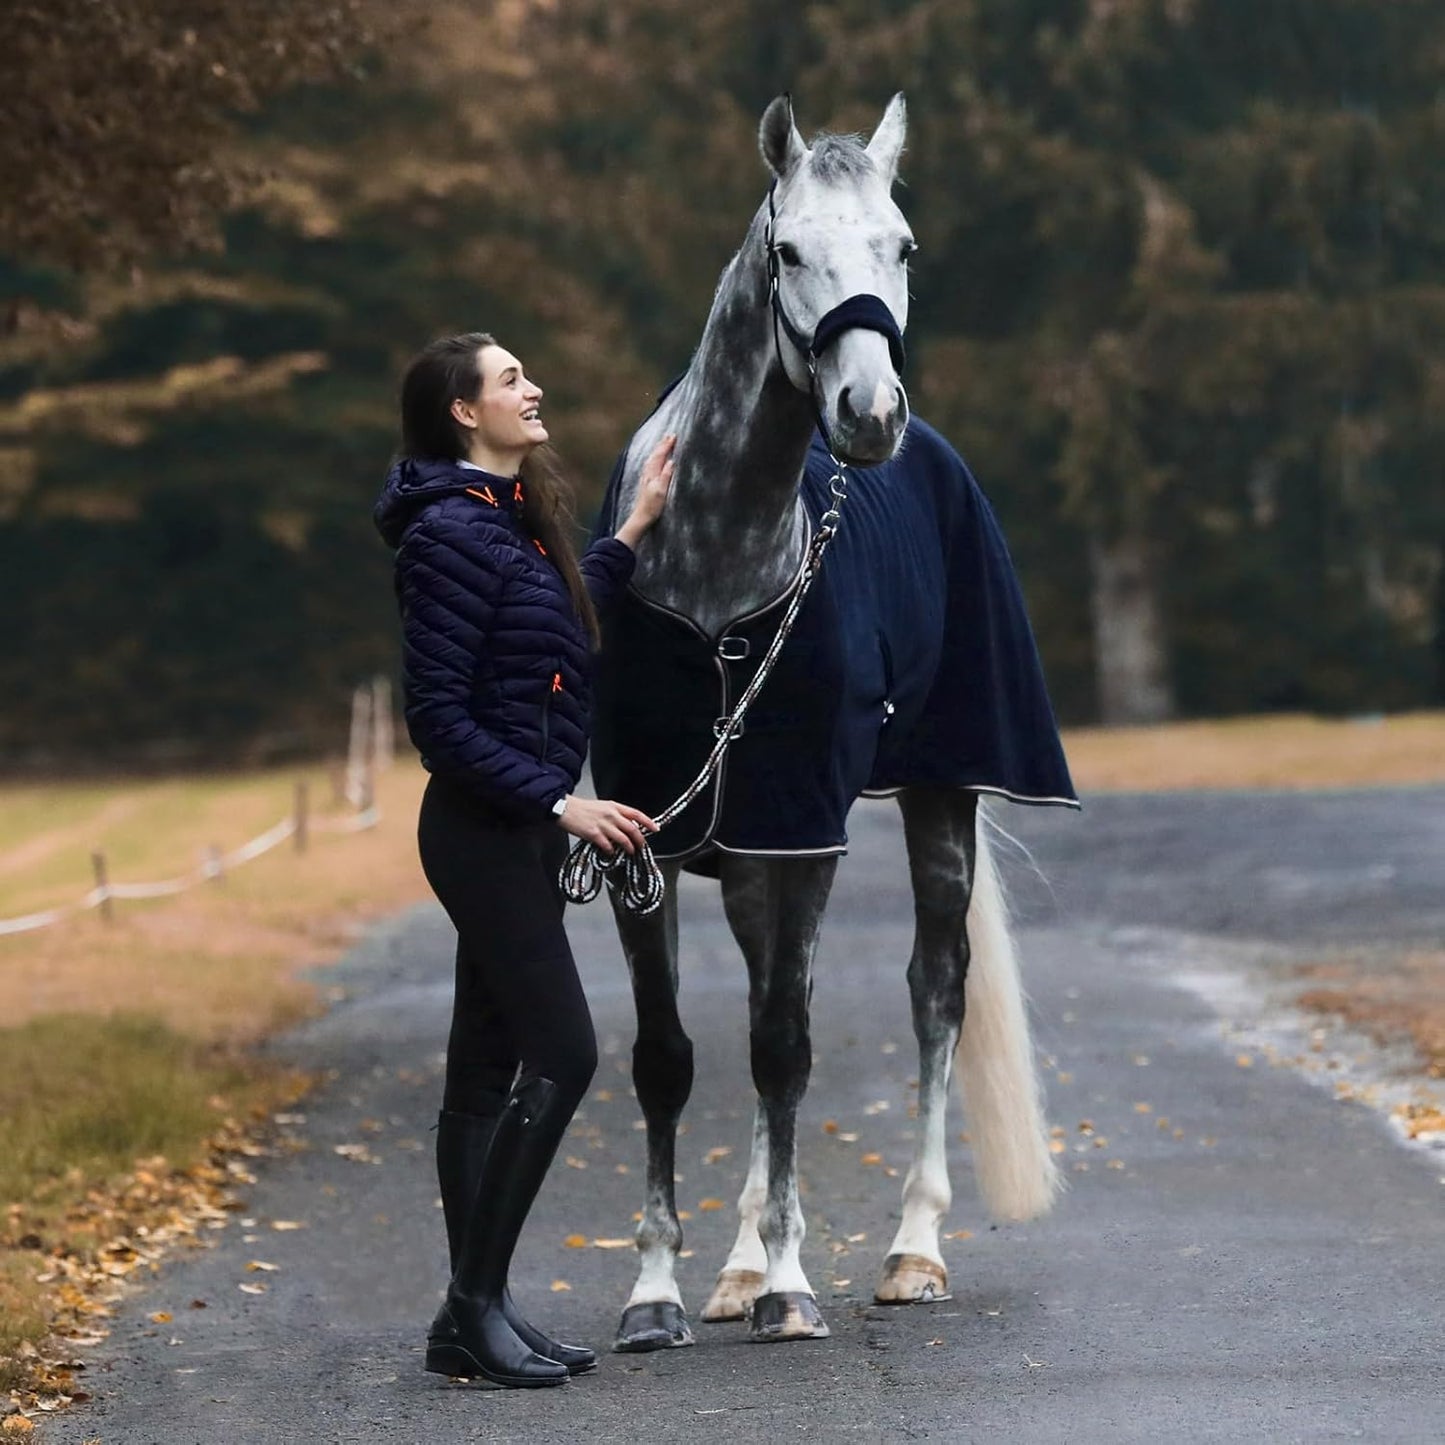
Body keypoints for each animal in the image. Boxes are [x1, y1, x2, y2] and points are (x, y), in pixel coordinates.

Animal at [587, 93, 1078, 1350]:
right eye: (787, 252)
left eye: (900, 247)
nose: (867, 413)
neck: (713, 571)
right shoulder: (649, 842)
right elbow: (669, 1058)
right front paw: (658, 1290)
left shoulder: (803, 830)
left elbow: (784, 1048)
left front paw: (792, 1283)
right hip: (751, 852)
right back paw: (733, 1267)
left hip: (937, 796)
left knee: (931, 990)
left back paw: (909, 1249)